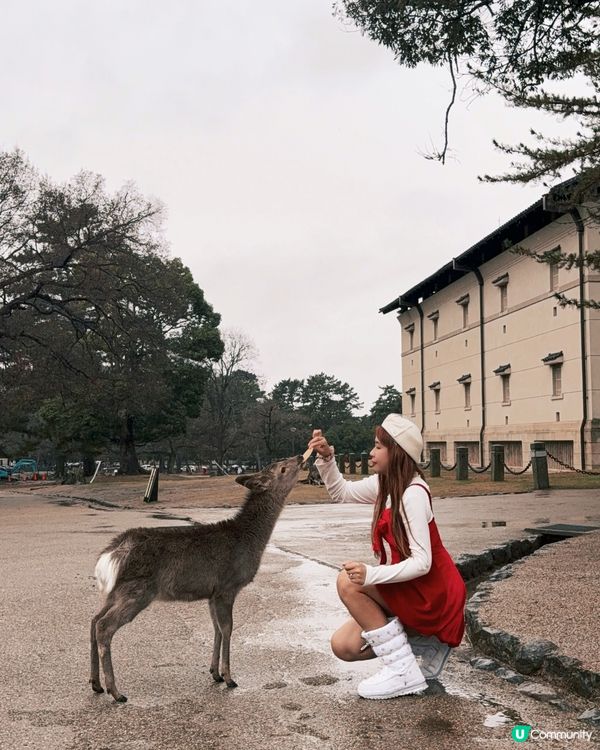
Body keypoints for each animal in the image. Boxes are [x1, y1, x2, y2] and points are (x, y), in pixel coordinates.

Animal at [90, 454, 304, 702]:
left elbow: (216, 628)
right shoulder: (227, 586)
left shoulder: (212, 593)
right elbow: (228, 628)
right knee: (104, 625)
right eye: (283, 468)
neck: (248, 540)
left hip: (116, 591)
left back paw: (96, 684)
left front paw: (215, 673)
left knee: (94, 619)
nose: (301, 456)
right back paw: (115, 691)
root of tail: (109, 555)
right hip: (138, 591)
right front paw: (229, 677)